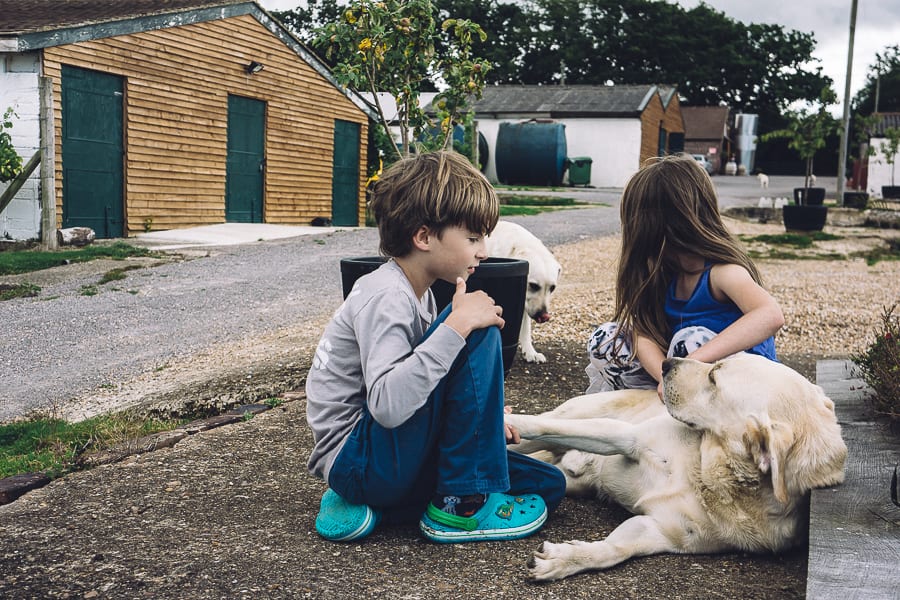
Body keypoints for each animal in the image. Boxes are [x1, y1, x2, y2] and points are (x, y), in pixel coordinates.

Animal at [486, 219, 564, 364]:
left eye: (552, 288)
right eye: (533, 285)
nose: (545, 316)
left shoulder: (524, 302)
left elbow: (526, 328)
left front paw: (531, 352)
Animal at [510, 356, 848, 580]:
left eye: (714, 377)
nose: (665, 363)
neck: (708, 473)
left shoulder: (659, 531)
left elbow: (614, 549)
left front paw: (564, 559)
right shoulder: (626, 437)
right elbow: (538, 426)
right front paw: (507, 423)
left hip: (572, 480)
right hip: (580, 413)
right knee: (544, 431)